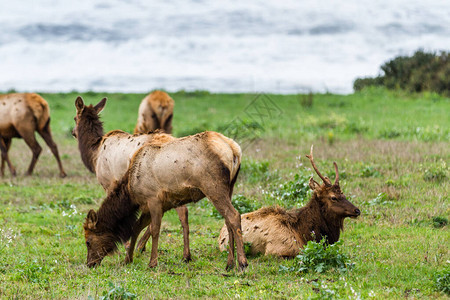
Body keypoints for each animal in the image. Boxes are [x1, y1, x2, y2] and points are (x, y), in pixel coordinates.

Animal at [73, 97, 192, 262]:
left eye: (74, 118)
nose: (73, 132)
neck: (94, 155)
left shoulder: (109, 183)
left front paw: (126, 246)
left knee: (178, 212)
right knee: (183, 211)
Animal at [82, 126, 248, 270]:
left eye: (88, 241)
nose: (90, 263)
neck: (131, 190)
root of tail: (235, 150)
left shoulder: (153, 198)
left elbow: (155, 229)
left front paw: (152, 263)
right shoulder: (158, 205)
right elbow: (136, 227)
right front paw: (127, 259)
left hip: (213, 186)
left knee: (233, 215)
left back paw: (242, 263)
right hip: (230, 187)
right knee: (227, 221)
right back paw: (229, 263)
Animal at [216, 146, 360, 256]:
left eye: (343, 194)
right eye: (333, 197)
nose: (357, 210)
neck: (303, 233)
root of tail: (221, 232)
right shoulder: (276, 251)